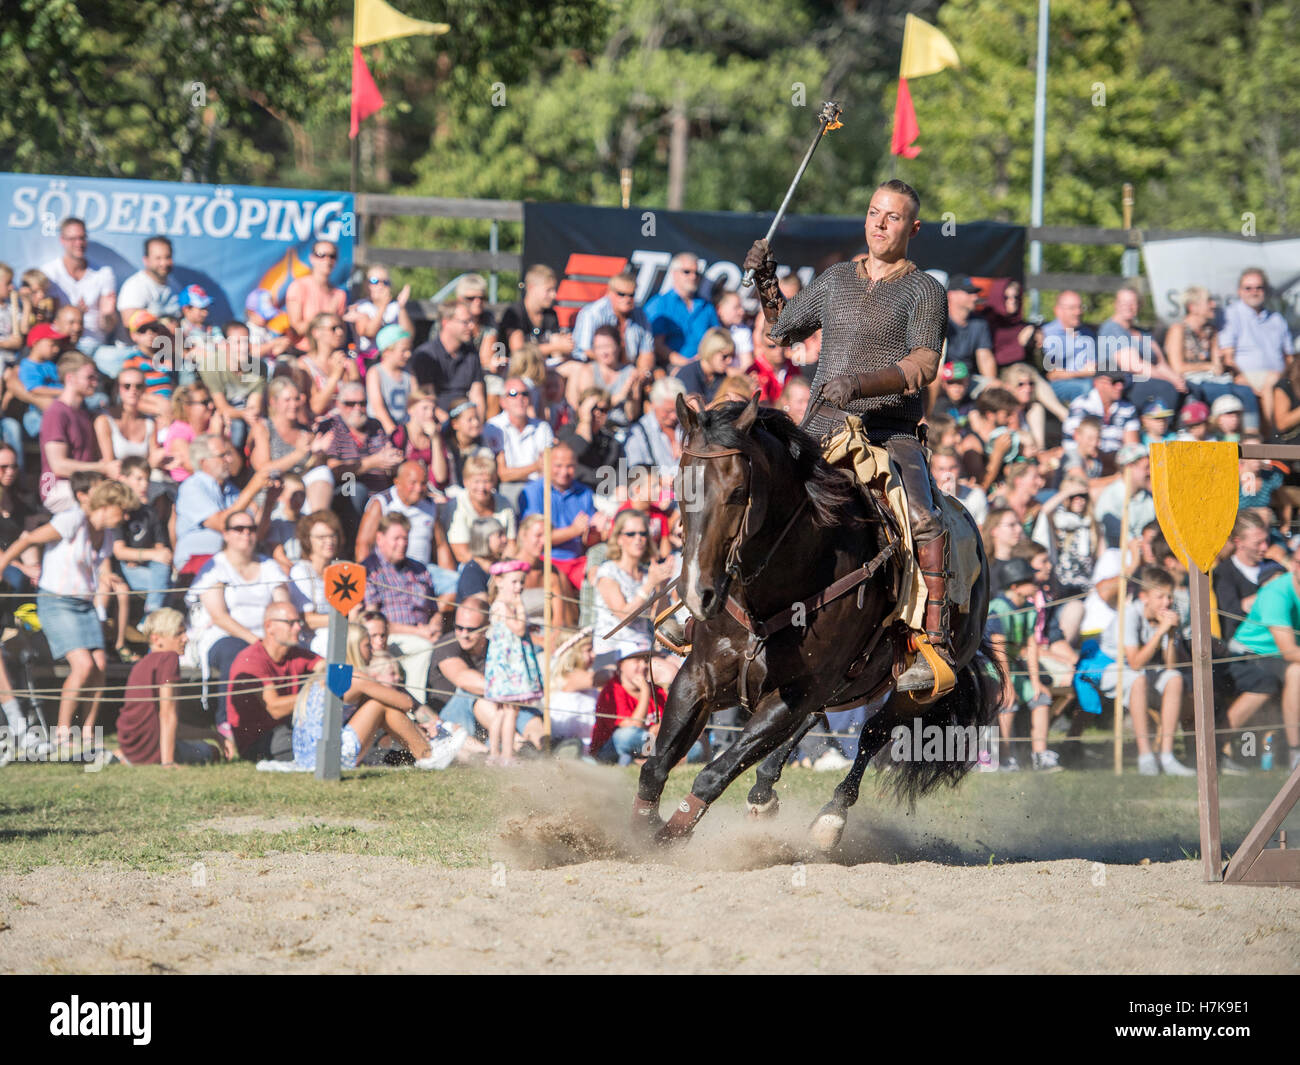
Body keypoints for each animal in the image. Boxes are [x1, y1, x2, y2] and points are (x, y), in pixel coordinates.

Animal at [634, 392, 998, 847]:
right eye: (681, 487)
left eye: (737, 492)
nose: (698, 594)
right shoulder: (699, 676)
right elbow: (655, 767)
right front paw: (640, 830)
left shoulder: (794, 692)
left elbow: (714, 774)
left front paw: (668, 837)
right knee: (814, 721)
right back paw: (763, 790)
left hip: (915, 691)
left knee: (871, 735)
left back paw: (830, 817)